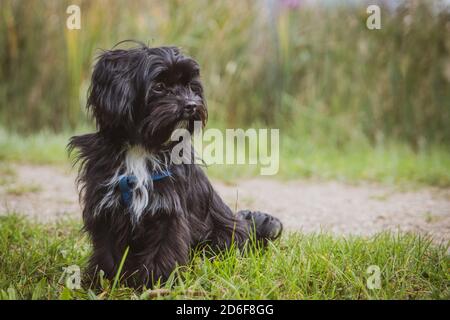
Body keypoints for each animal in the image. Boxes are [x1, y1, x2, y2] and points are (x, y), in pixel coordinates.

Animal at [67, 42, 282, 288]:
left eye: (190, 86)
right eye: (159, 86)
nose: (192, 104)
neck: (142, 147)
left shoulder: (167, 211)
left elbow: (163, 249)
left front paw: (156, 283)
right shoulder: (106, 209)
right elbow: (108, 253)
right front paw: (109, 283)